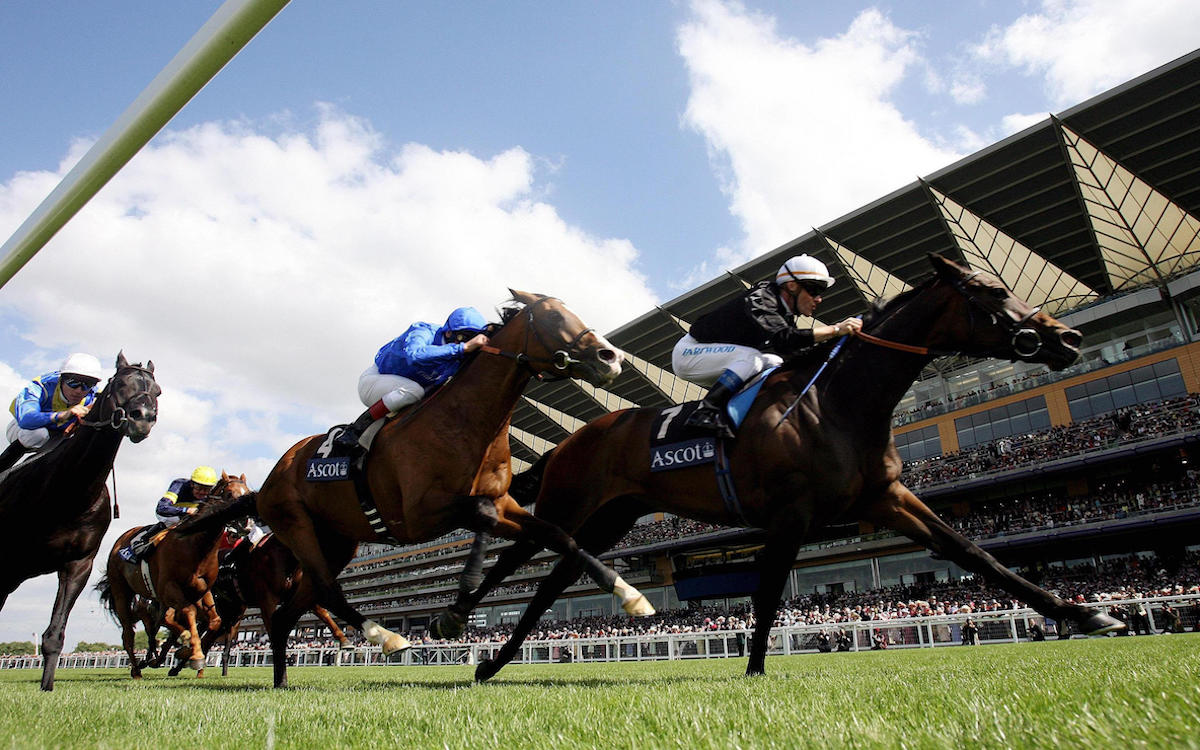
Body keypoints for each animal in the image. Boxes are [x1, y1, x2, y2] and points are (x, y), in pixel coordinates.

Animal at [0, 352, 159, 691]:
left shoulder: (78, 564)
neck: (66, 492)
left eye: (157, 391)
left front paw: (47, 686)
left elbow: (54, 635)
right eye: (120, 384)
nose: (143, 417)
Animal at [101, 470, 253, 676]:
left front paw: (186, 652)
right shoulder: (171, 588)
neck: (195, 546)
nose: (246, 523)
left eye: (249, 492)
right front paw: (192, 653)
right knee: (129, 633)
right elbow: (187, 615)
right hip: (122, 592)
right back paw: (138, 670)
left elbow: (213, 621)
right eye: (229, 494)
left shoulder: (204, 590)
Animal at [192, 289, 652, 686]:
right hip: (295, 524)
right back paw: (386, 636)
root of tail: (267, 482)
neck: (467, 421)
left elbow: (561, 538)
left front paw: (629, 592)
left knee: (292, 611)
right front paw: (454, 610)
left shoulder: (504, 502)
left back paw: (282, 680)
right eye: (555, 318)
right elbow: (485, 518)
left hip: (338, 541)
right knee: (325, 590)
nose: (611, 356)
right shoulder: (419, 517)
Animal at [460, 254, 1123, 681]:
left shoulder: (886, 496)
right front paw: (754, 669)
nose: (1067, 337)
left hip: (612, 517)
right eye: (989, 294)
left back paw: (493, 659)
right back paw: (456, 621)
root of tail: (571, 439)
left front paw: (1086, 613)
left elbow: (973, 552)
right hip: (571, 501)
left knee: (553, 580)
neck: (840, 402)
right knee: (517, 560)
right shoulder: (789, 511)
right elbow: (769, 589)